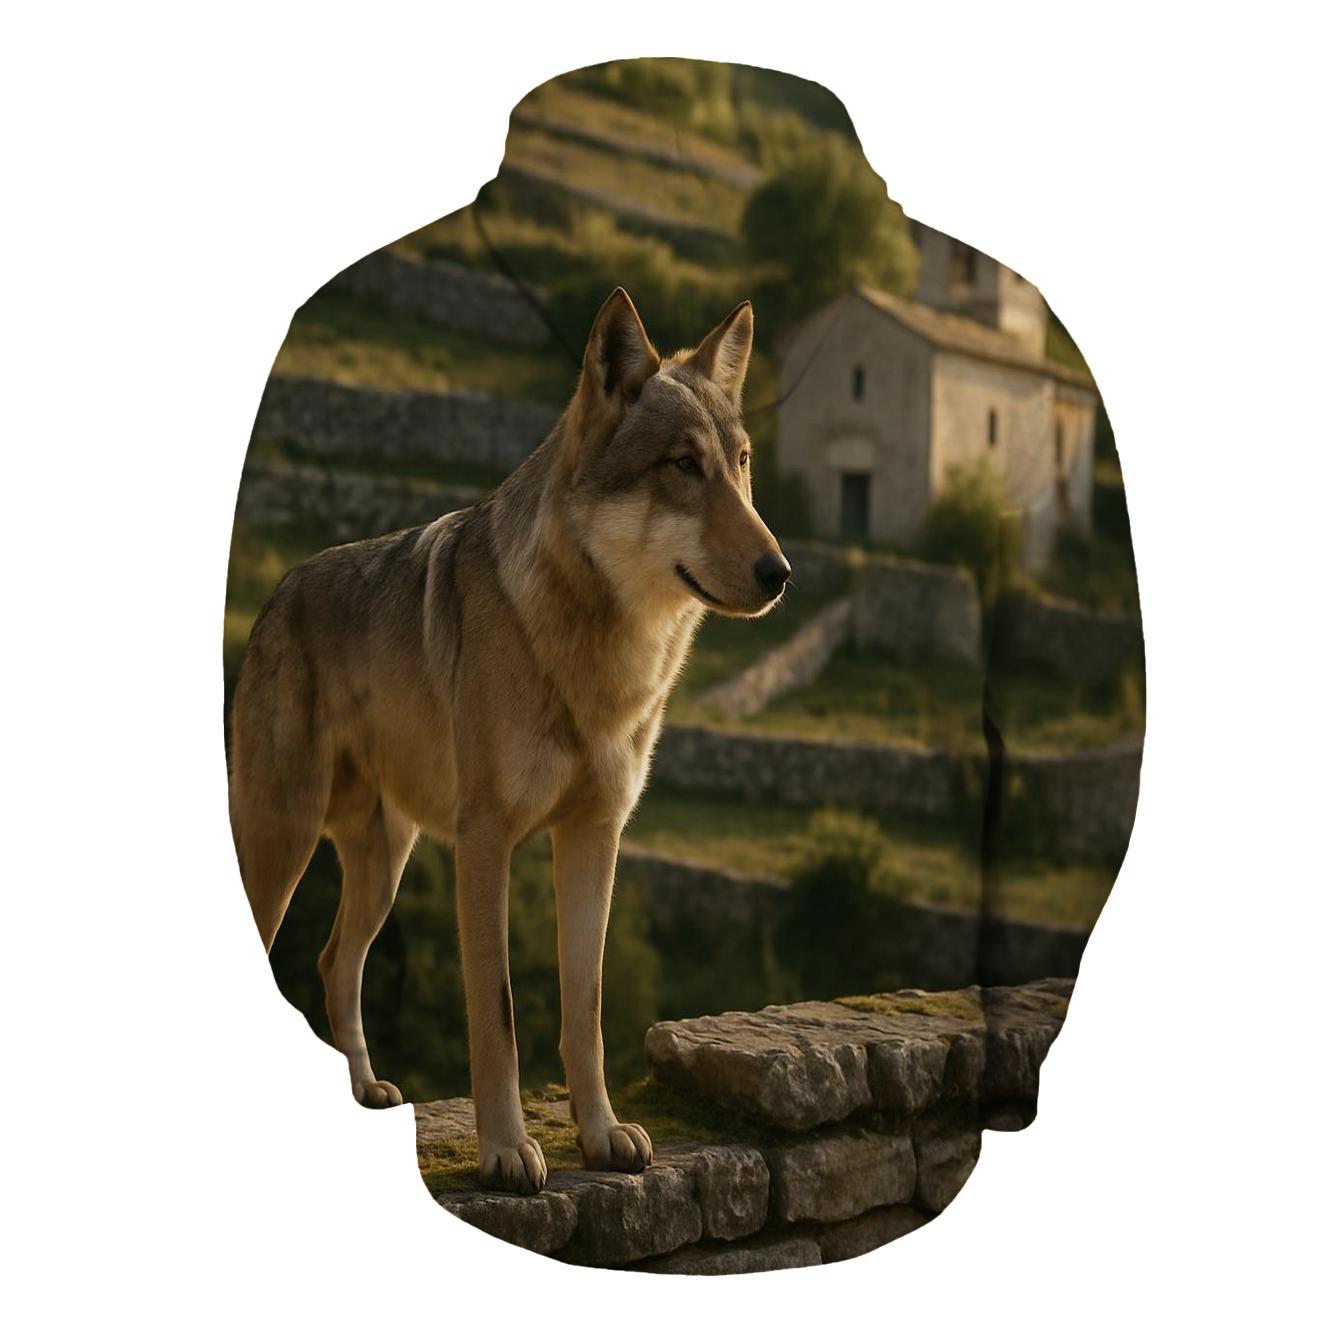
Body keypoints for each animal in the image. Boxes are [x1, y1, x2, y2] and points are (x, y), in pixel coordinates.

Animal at [229, 289, 790, 1193]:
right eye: (682, 465)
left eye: (740, 463)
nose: (781, 572)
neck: (602, 655)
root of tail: (279, 589)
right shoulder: (484, 843)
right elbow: (496, 1015)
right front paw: (503, 1150)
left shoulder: (595, 836)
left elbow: (583, 1007)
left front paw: (601, 1135)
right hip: (282, 844)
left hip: (385, 866)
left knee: (331, 962)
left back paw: (364, 1090)